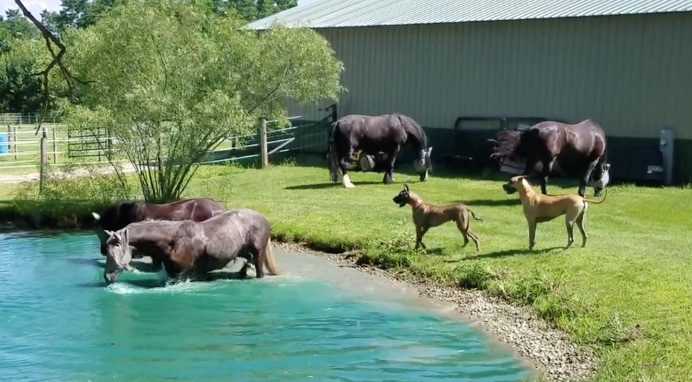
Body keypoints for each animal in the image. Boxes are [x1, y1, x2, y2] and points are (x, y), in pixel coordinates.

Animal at [102, 209, 278, 284]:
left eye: (112, 253)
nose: (107, 277)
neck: (173, 241)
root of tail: (263, 217)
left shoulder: (182, 274)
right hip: (243, 251)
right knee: (247, 261)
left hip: (259, 253)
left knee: (258, 268)